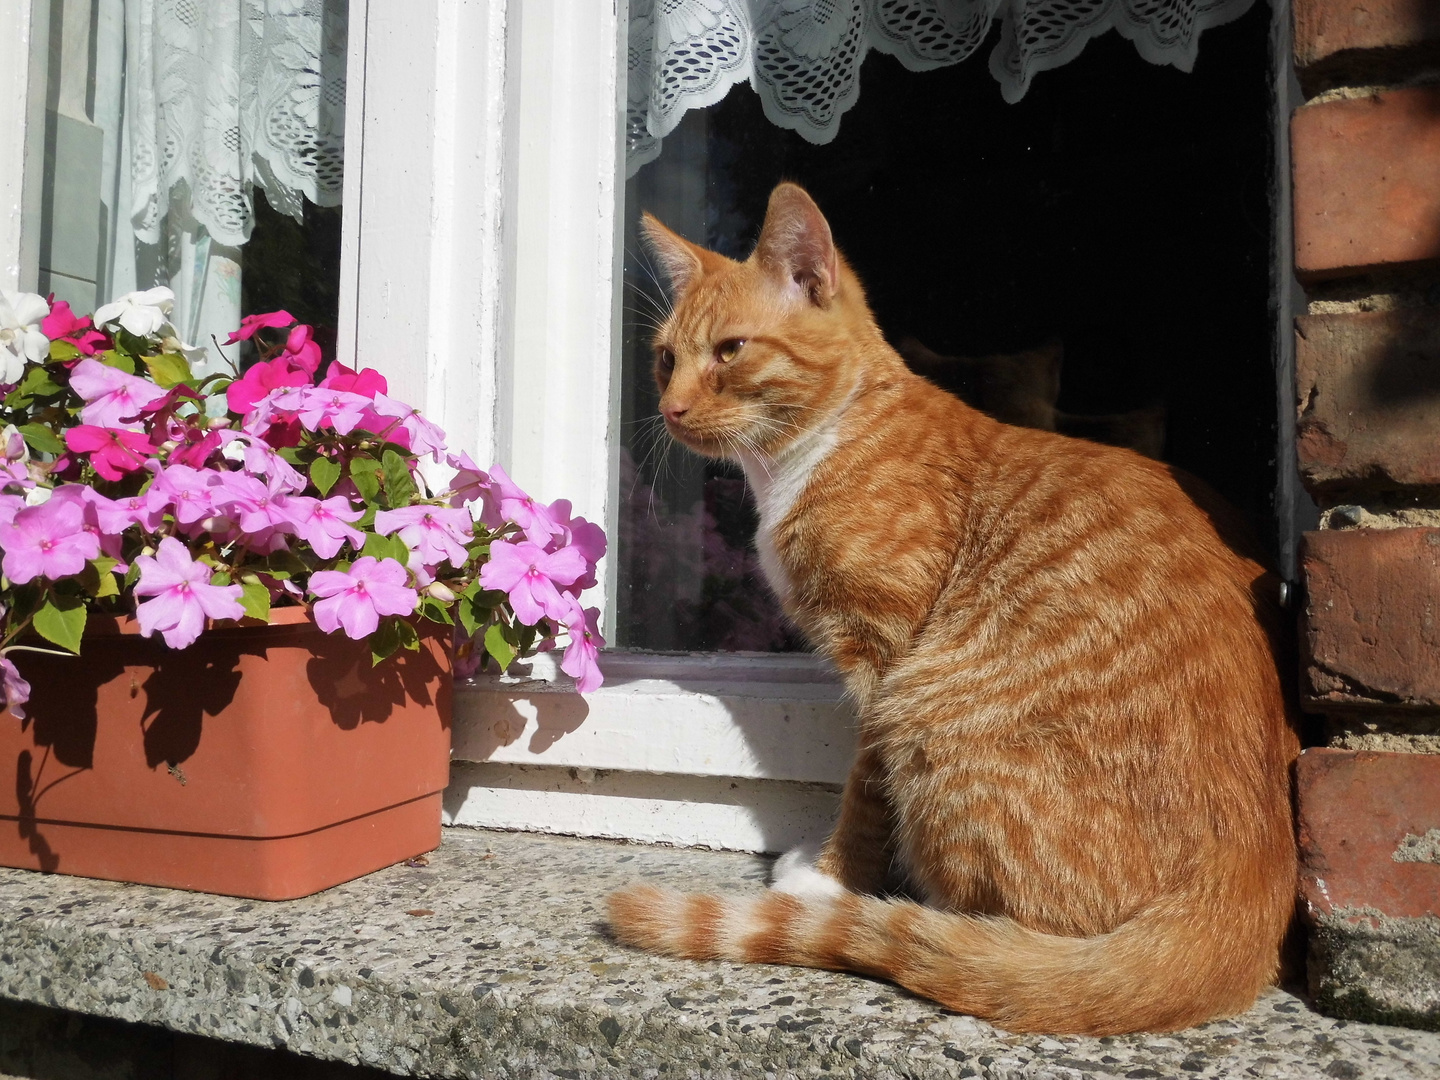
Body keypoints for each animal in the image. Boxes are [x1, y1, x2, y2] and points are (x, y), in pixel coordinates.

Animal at [601, 182, 1301, 1036]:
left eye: (729, 352)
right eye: (666, 358)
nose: (667, 408)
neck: (817, 447)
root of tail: (1249, 895)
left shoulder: (885, 656)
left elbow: (866, 789)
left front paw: (831, 881)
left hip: (929, 707)